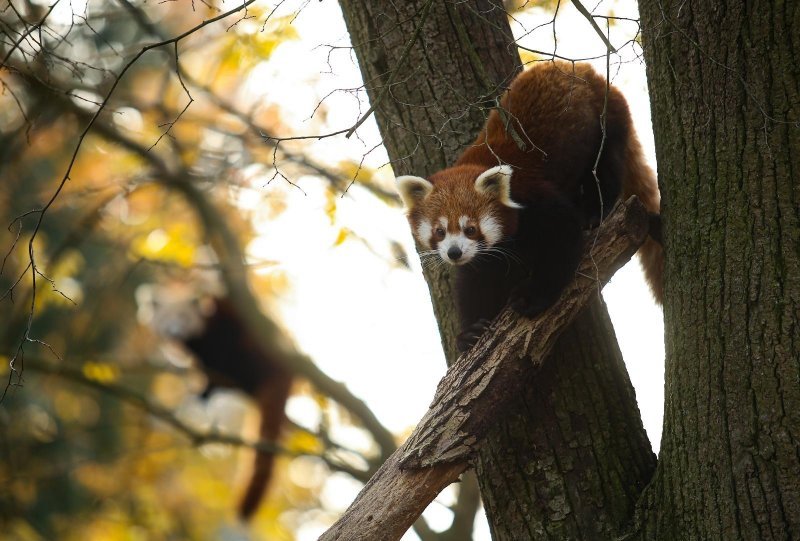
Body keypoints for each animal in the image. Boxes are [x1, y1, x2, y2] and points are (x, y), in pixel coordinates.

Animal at [139, 286, 292, 520]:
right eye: (166, 319)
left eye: (183, 317)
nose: (175, 332)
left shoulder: (223, 325)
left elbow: (222, 352)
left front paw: (206, 387)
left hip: (257, 350)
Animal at [394, 62, 664, 350]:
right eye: (440, 231)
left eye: (471, 229)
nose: (454, 253)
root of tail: (584, 68)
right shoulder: (481, 255)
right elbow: (474, 279)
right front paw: (469, 332)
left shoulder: (535, 198)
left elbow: (561, 240)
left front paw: (531, 296)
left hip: (606, 121)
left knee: (606, 167)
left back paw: (594, 211)